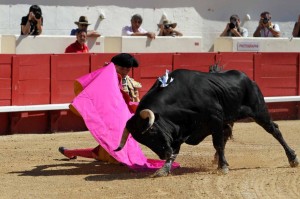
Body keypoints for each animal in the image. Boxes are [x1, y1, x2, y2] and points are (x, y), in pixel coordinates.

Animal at [115, 69, 298, 176]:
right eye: (142, 141)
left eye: (151, 131)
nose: (164, 155)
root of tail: (248, 79)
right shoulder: (179, 131)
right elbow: (177, 149)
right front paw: (163, 169)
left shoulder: (215, 118)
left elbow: (217, 143)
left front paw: (223, 167)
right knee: (226, 136)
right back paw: (217, 160)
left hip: (259, 111)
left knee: (274, 130)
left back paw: (293, 159)